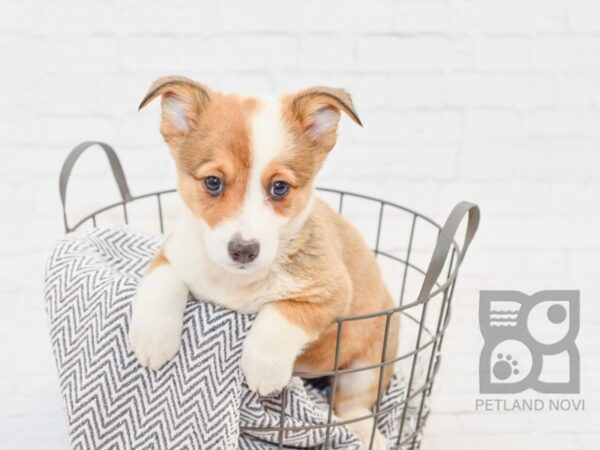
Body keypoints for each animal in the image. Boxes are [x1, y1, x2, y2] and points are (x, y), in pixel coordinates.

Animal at [128, 75, 398, 448]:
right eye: (213, 182)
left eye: (280, 188)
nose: (243, 250)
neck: (237, 281)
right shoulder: (173, 252)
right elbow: (162, 281)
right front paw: (153, 339)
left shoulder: (332, 291)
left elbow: (282, 313)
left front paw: (262, 368)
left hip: (368, 363)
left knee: (351, 404)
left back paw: (364, 433)